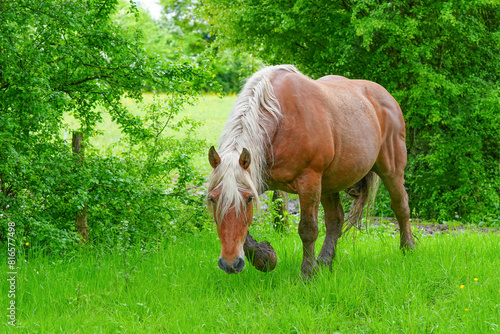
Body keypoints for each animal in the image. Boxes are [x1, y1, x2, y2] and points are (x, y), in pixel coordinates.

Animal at [206, 65, 414, 276]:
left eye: (248, 199)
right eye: (212, 199)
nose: (230, 263)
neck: (281, 120)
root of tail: (386, 96)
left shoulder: (309, 182)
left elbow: (308, 229)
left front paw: (307, 273)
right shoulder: (256, 179)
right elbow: (245, 228)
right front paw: (265, 257)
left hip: (391, 170)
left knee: (401, 206)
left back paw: (408, 248)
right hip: (330, 184)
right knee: (335, 221)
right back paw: (324, 262)